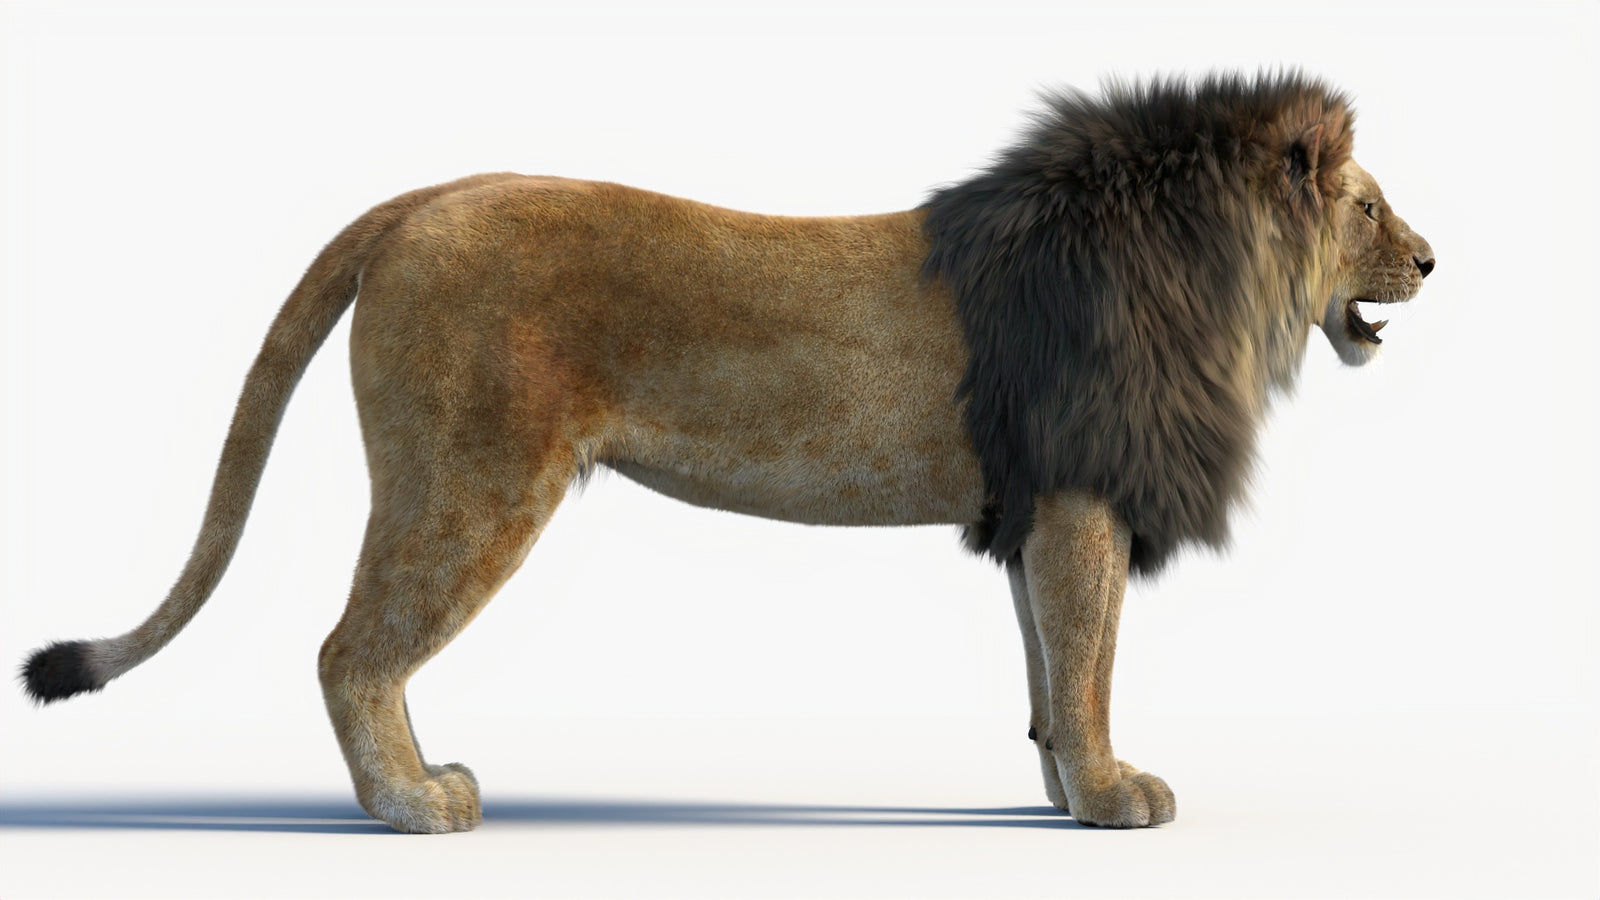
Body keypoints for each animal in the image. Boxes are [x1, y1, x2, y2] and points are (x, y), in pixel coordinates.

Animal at [21, 72, 1433, 832]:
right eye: (1367, 207)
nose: (1430, 259)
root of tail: (420, 202)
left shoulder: (1036, 510)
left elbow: (1047, 664)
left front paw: (1054, 790)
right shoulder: (1083, 496)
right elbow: (1087, 663)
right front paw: (1108, 796)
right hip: (471, 484)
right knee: (348, 650)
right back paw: (414, 807)